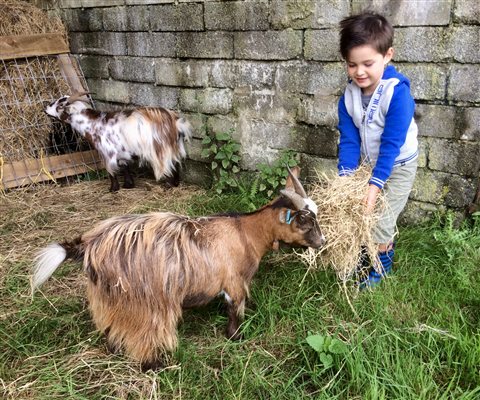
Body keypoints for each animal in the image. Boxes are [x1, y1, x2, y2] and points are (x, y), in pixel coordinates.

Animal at [44, 94, 191, 194]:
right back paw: (175, 183)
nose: (45, 108)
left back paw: (169, 184)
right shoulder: (122, 151)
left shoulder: (107, 152)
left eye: (60, 106)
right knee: (176, 163)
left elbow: (111, 171)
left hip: (162, 148)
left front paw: (113, 189)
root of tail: (176, 123)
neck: (92, 124)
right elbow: (125, 166)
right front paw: (128, 184)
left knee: (170, 164)